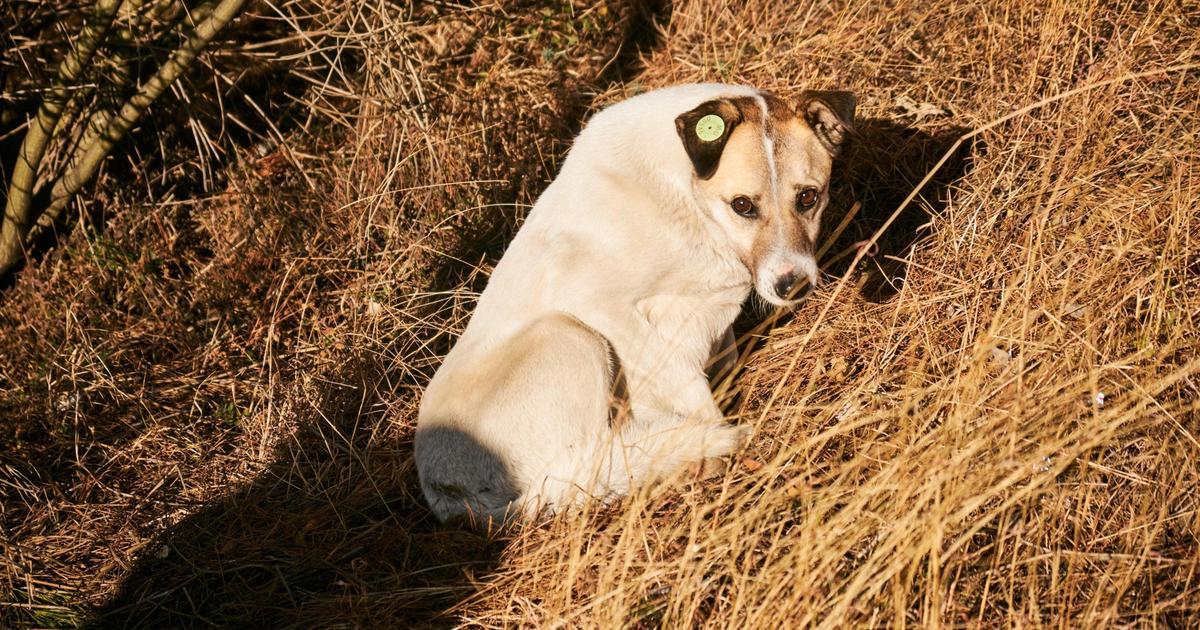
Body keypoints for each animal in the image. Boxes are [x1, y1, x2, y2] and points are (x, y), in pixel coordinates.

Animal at [412, 84, 854, 525]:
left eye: (808, 197)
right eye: (742, 205)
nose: (792, 286)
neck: (687, 197)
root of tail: (449, 496)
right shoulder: (600, 302)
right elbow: (687, 382)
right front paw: (716, 447)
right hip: (569, 335)